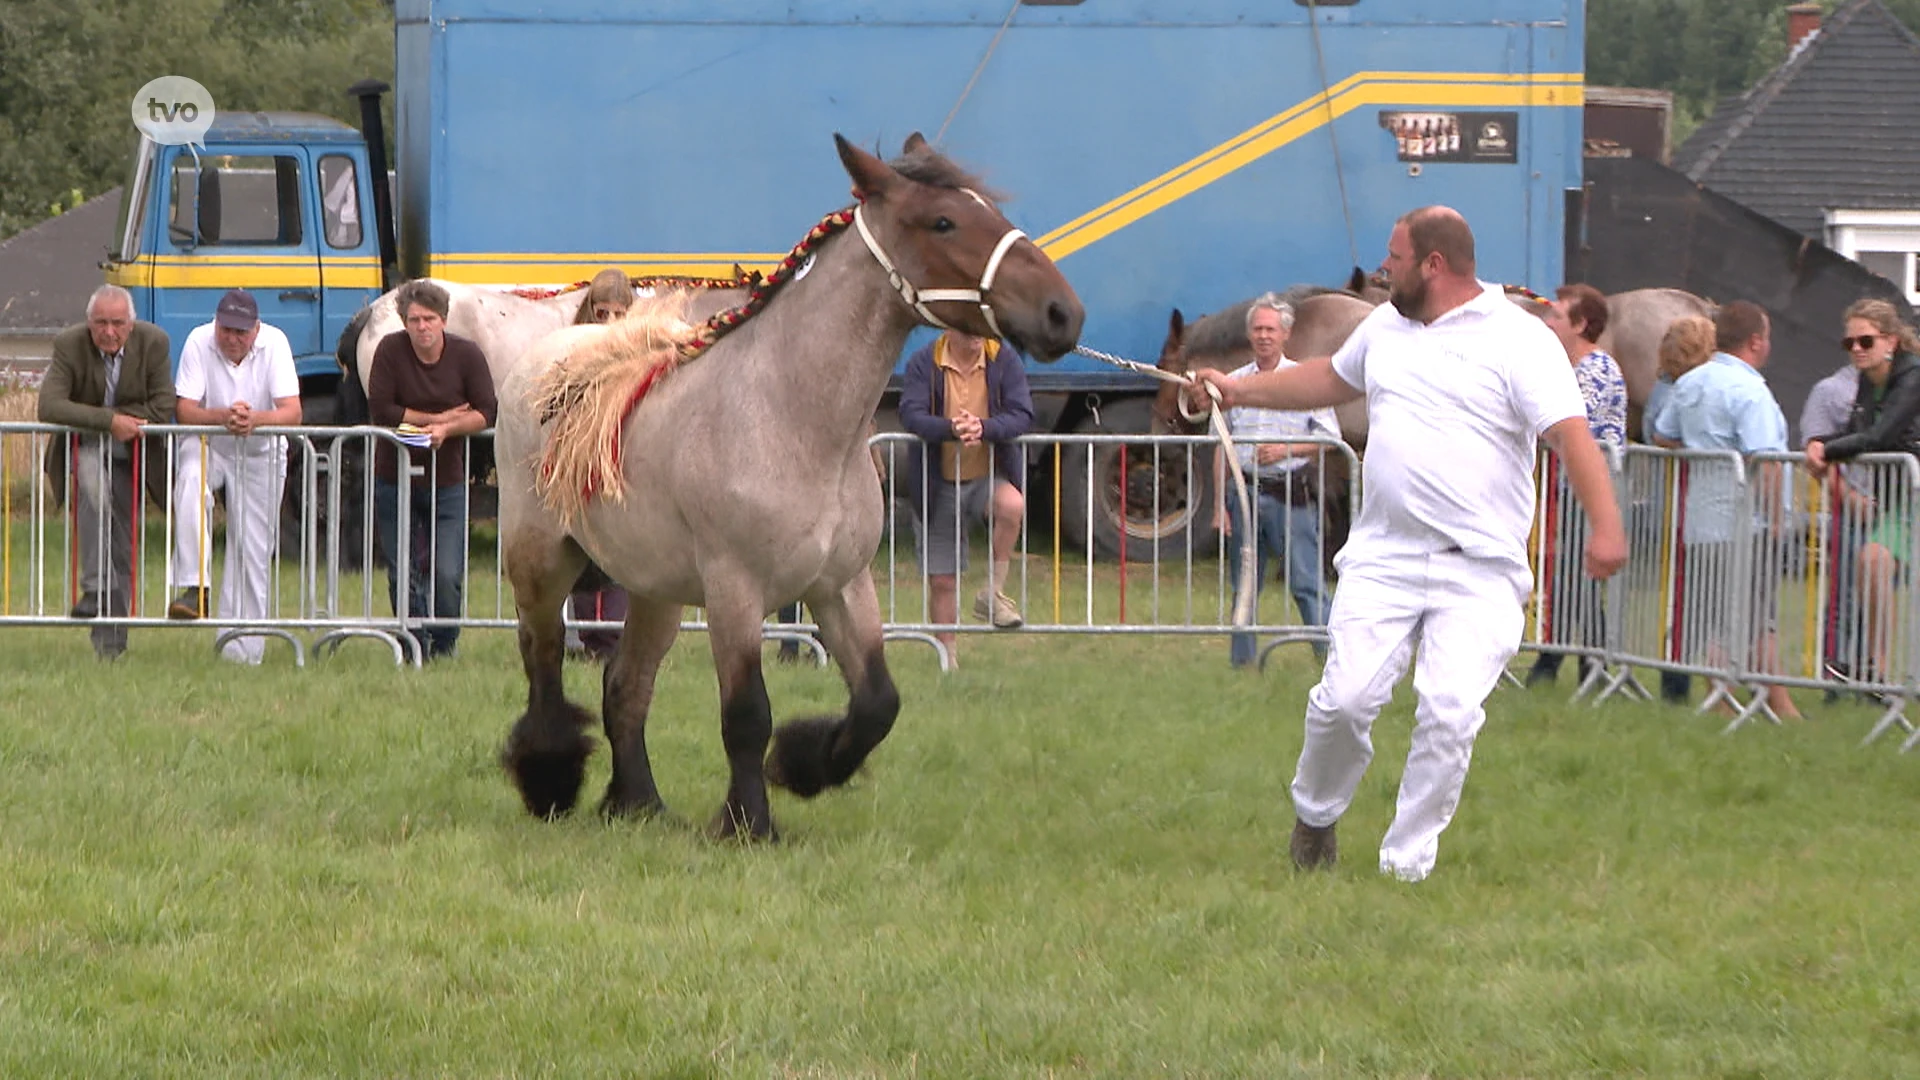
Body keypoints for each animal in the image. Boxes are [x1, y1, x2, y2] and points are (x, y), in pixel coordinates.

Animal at [495, 134, 1090, 837]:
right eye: (943, 221)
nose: (1063, 314)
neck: (793, 417)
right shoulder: (735, 591)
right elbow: (747, 715)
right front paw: (749, 822)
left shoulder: (841, 585)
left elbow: (878, 702)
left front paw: (806, 767)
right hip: (542, 561)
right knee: (544, 661)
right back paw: (550, 781)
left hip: (655, 589)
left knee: (625, 684)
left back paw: (638, 801)